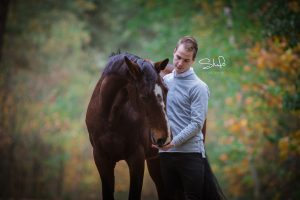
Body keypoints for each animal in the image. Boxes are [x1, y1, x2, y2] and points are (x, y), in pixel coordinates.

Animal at [85, 52, 172, 200]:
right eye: (143, 96)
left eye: (166, 90)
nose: (164, 137)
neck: (110, 120)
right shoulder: (101, 159)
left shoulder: (136, 159)